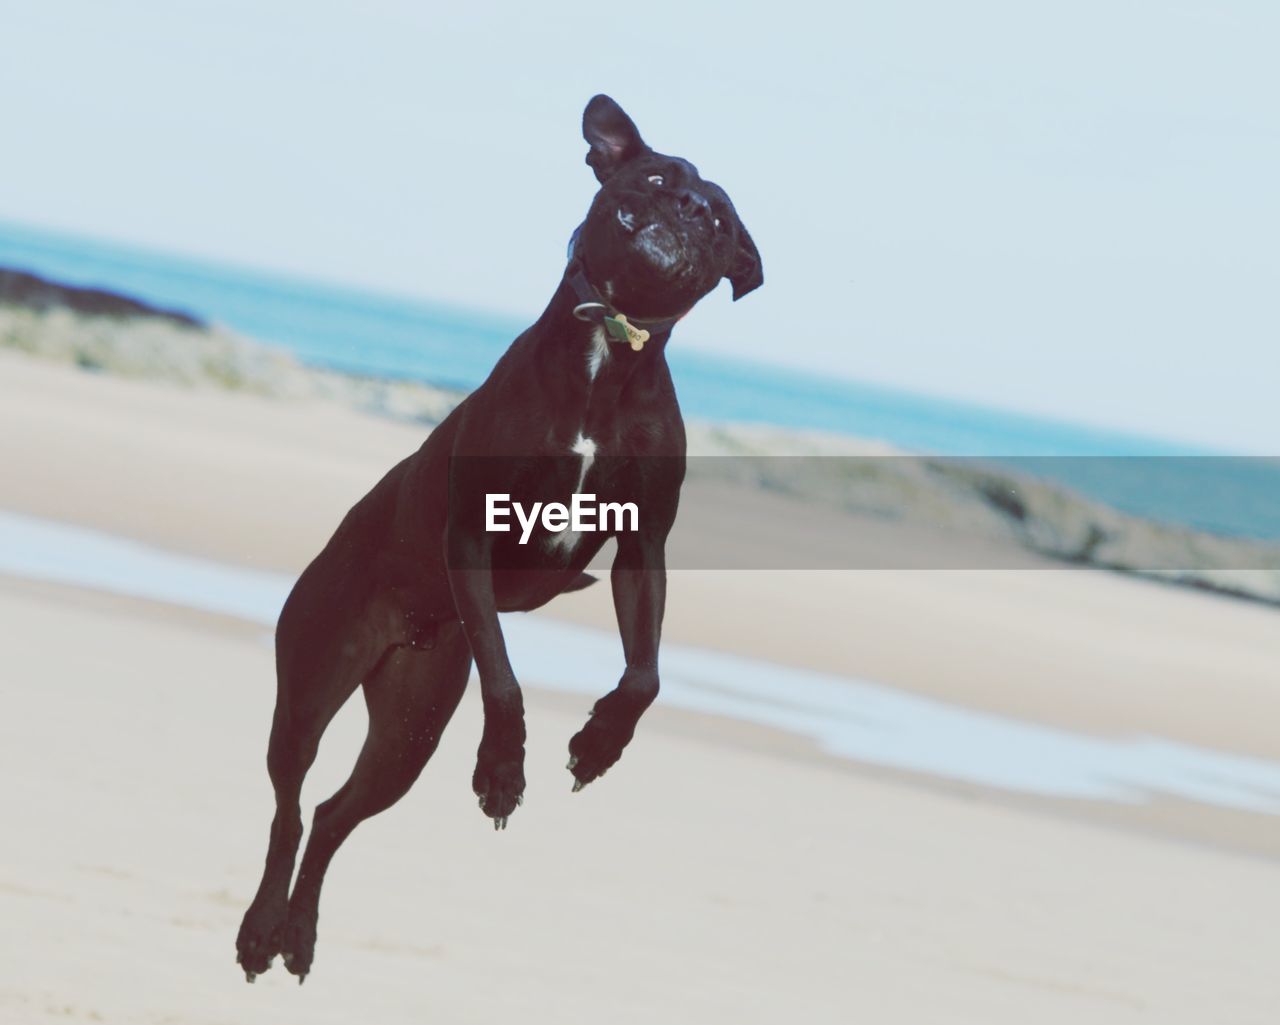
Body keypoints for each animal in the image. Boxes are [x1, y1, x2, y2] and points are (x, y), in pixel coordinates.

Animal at [235, 97, 757, 982]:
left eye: (719, 218)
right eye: (658, 179)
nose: (689, 209)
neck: (606, 355)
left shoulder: (643, 549)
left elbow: (646, 675)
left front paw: (597, 744)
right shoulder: (475, 536)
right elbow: (506, 680)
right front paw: (502, 769)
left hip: (408, 730)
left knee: (336, 815)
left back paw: (297, 933)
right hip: (310, 683)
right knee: (291, 804)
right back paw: (261, 926)